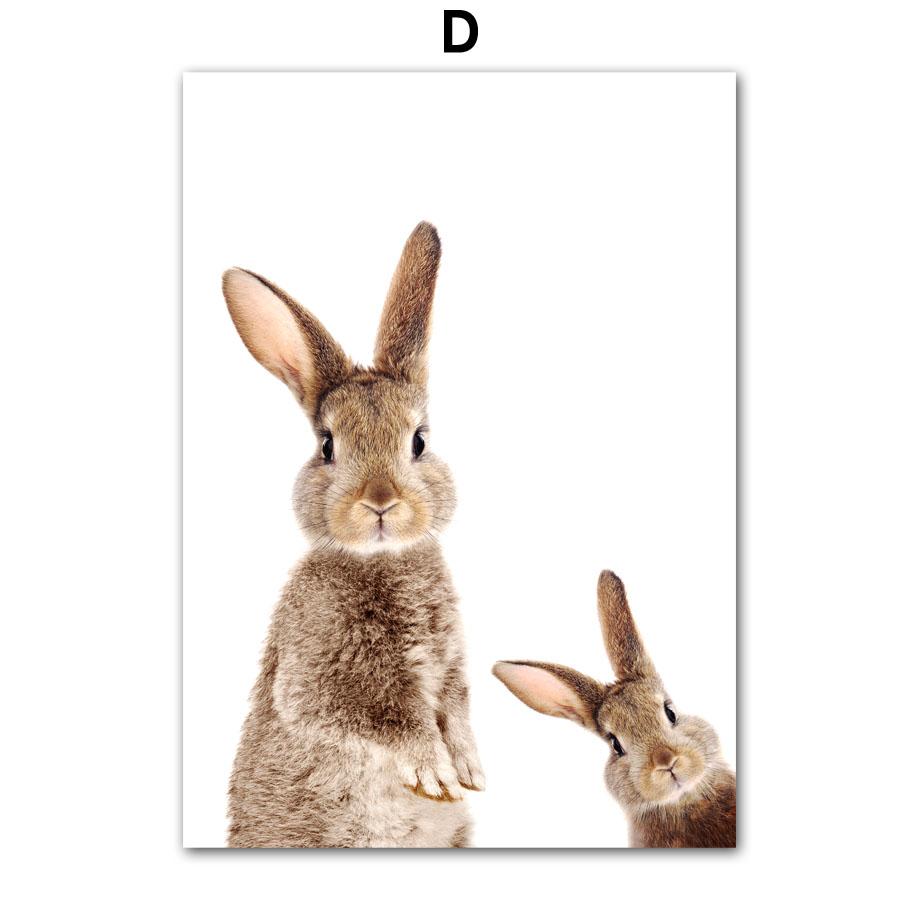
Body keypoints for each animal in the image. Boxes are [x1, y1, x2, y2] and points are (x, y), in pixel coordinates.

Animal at [221, 222, 484, 848]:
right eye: (327, 446)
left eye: (419, 440)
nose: (381, 501)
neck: (385, 560)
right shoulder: (323, 676)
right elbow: (390, 717)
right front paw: (436, 771)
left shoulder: (452, 665)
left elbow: (456, 705)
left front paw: (468, 767)